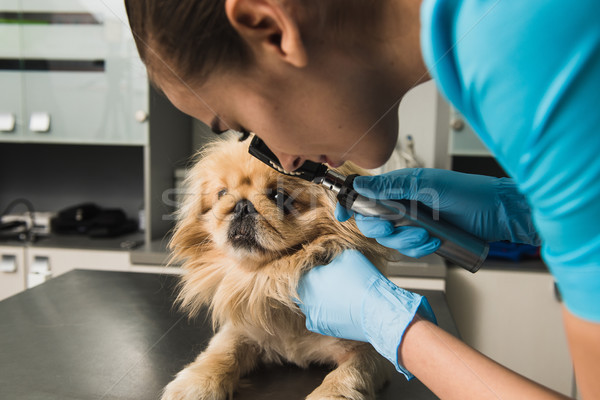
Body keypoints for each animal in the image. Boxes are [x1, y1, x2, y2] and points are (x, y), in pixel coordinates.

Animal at [163, 135, 394, 400]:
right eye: (222, 194)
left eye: (279, 197)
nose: (242, 205)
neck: (273, 277)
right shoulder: (240, 331)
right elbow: (221, 354)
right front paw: (197, 384)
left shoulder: (368, 352)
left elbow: (347, 375)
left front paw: (329, 394)